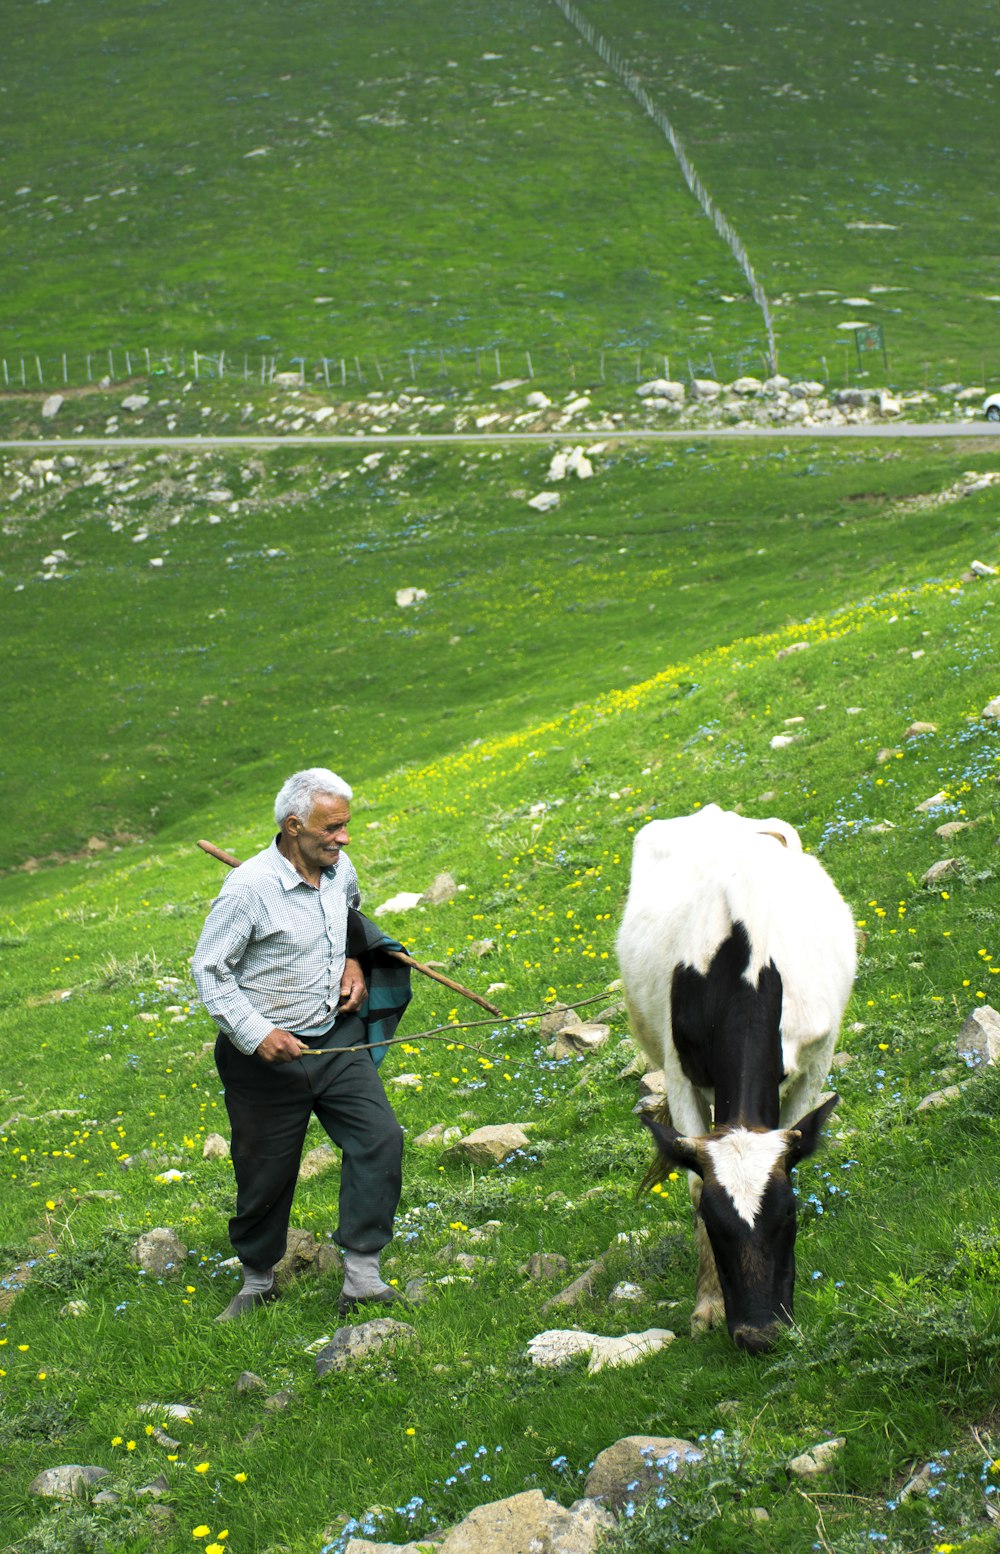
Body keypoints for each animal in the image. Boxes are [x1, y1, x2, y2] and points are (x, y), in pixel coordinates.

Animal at [618, 808, 857, 1355]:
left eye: (788, 1215)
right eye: (713, 1222)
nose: (758, 1335)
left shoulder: (816, 1060)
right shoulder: (679, 1072)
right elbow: (690, 1182)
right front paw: (707, 1306)